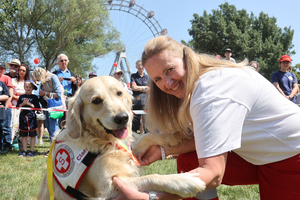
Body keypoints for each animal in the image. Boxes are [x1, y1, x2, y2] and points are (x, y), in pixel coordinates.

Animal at [37, 76, 206, 199]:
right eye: (96, 100)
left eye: (119, 93)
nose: (123, 118)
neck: (102, 143)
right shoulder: (109, 189)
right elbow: (152, 177)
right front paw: (185, 181)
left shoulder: (127, 149)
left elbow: (147, 137)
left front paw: (174, 136)